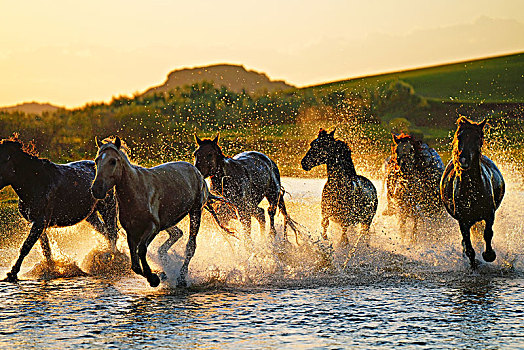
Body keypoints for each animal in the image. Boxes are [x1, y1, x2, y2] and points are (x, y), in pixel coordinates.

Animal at [0, 136, 117, 282]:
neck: (35, 181)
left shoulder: (40, 222)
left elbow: (26, 247)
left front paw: (12, 273)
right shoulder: (37, 223)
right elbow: (46, 250)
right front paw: (51, 269)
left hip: (108, 208)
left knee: (112, 233)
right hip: (91, 216)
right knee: (105, 232)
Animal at [90, 135, 231, 286]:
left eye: (113, 161)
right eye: (97, 160)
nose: (96, 189)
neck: (136, 191)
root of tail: (198, 173)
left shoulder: (152, 227)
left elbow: (142, 250)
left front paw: (154, 278)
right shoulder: (131, 232)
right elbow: (135, 264)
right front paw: (159, 275)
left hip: (195, 212)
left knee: (190, 246)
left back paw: (181, 277)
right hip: (169, 221)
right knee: (175, 235)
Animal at [440, 117, 506, 268]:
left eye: (477, 138)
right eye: (459, 136)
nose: (463, 160)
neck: (472, 190)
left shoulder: (489, 214)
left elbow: (487, 233)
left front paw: (489, 255)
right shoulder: (463, 220)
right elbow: (468, 244)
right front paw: (473, 263)